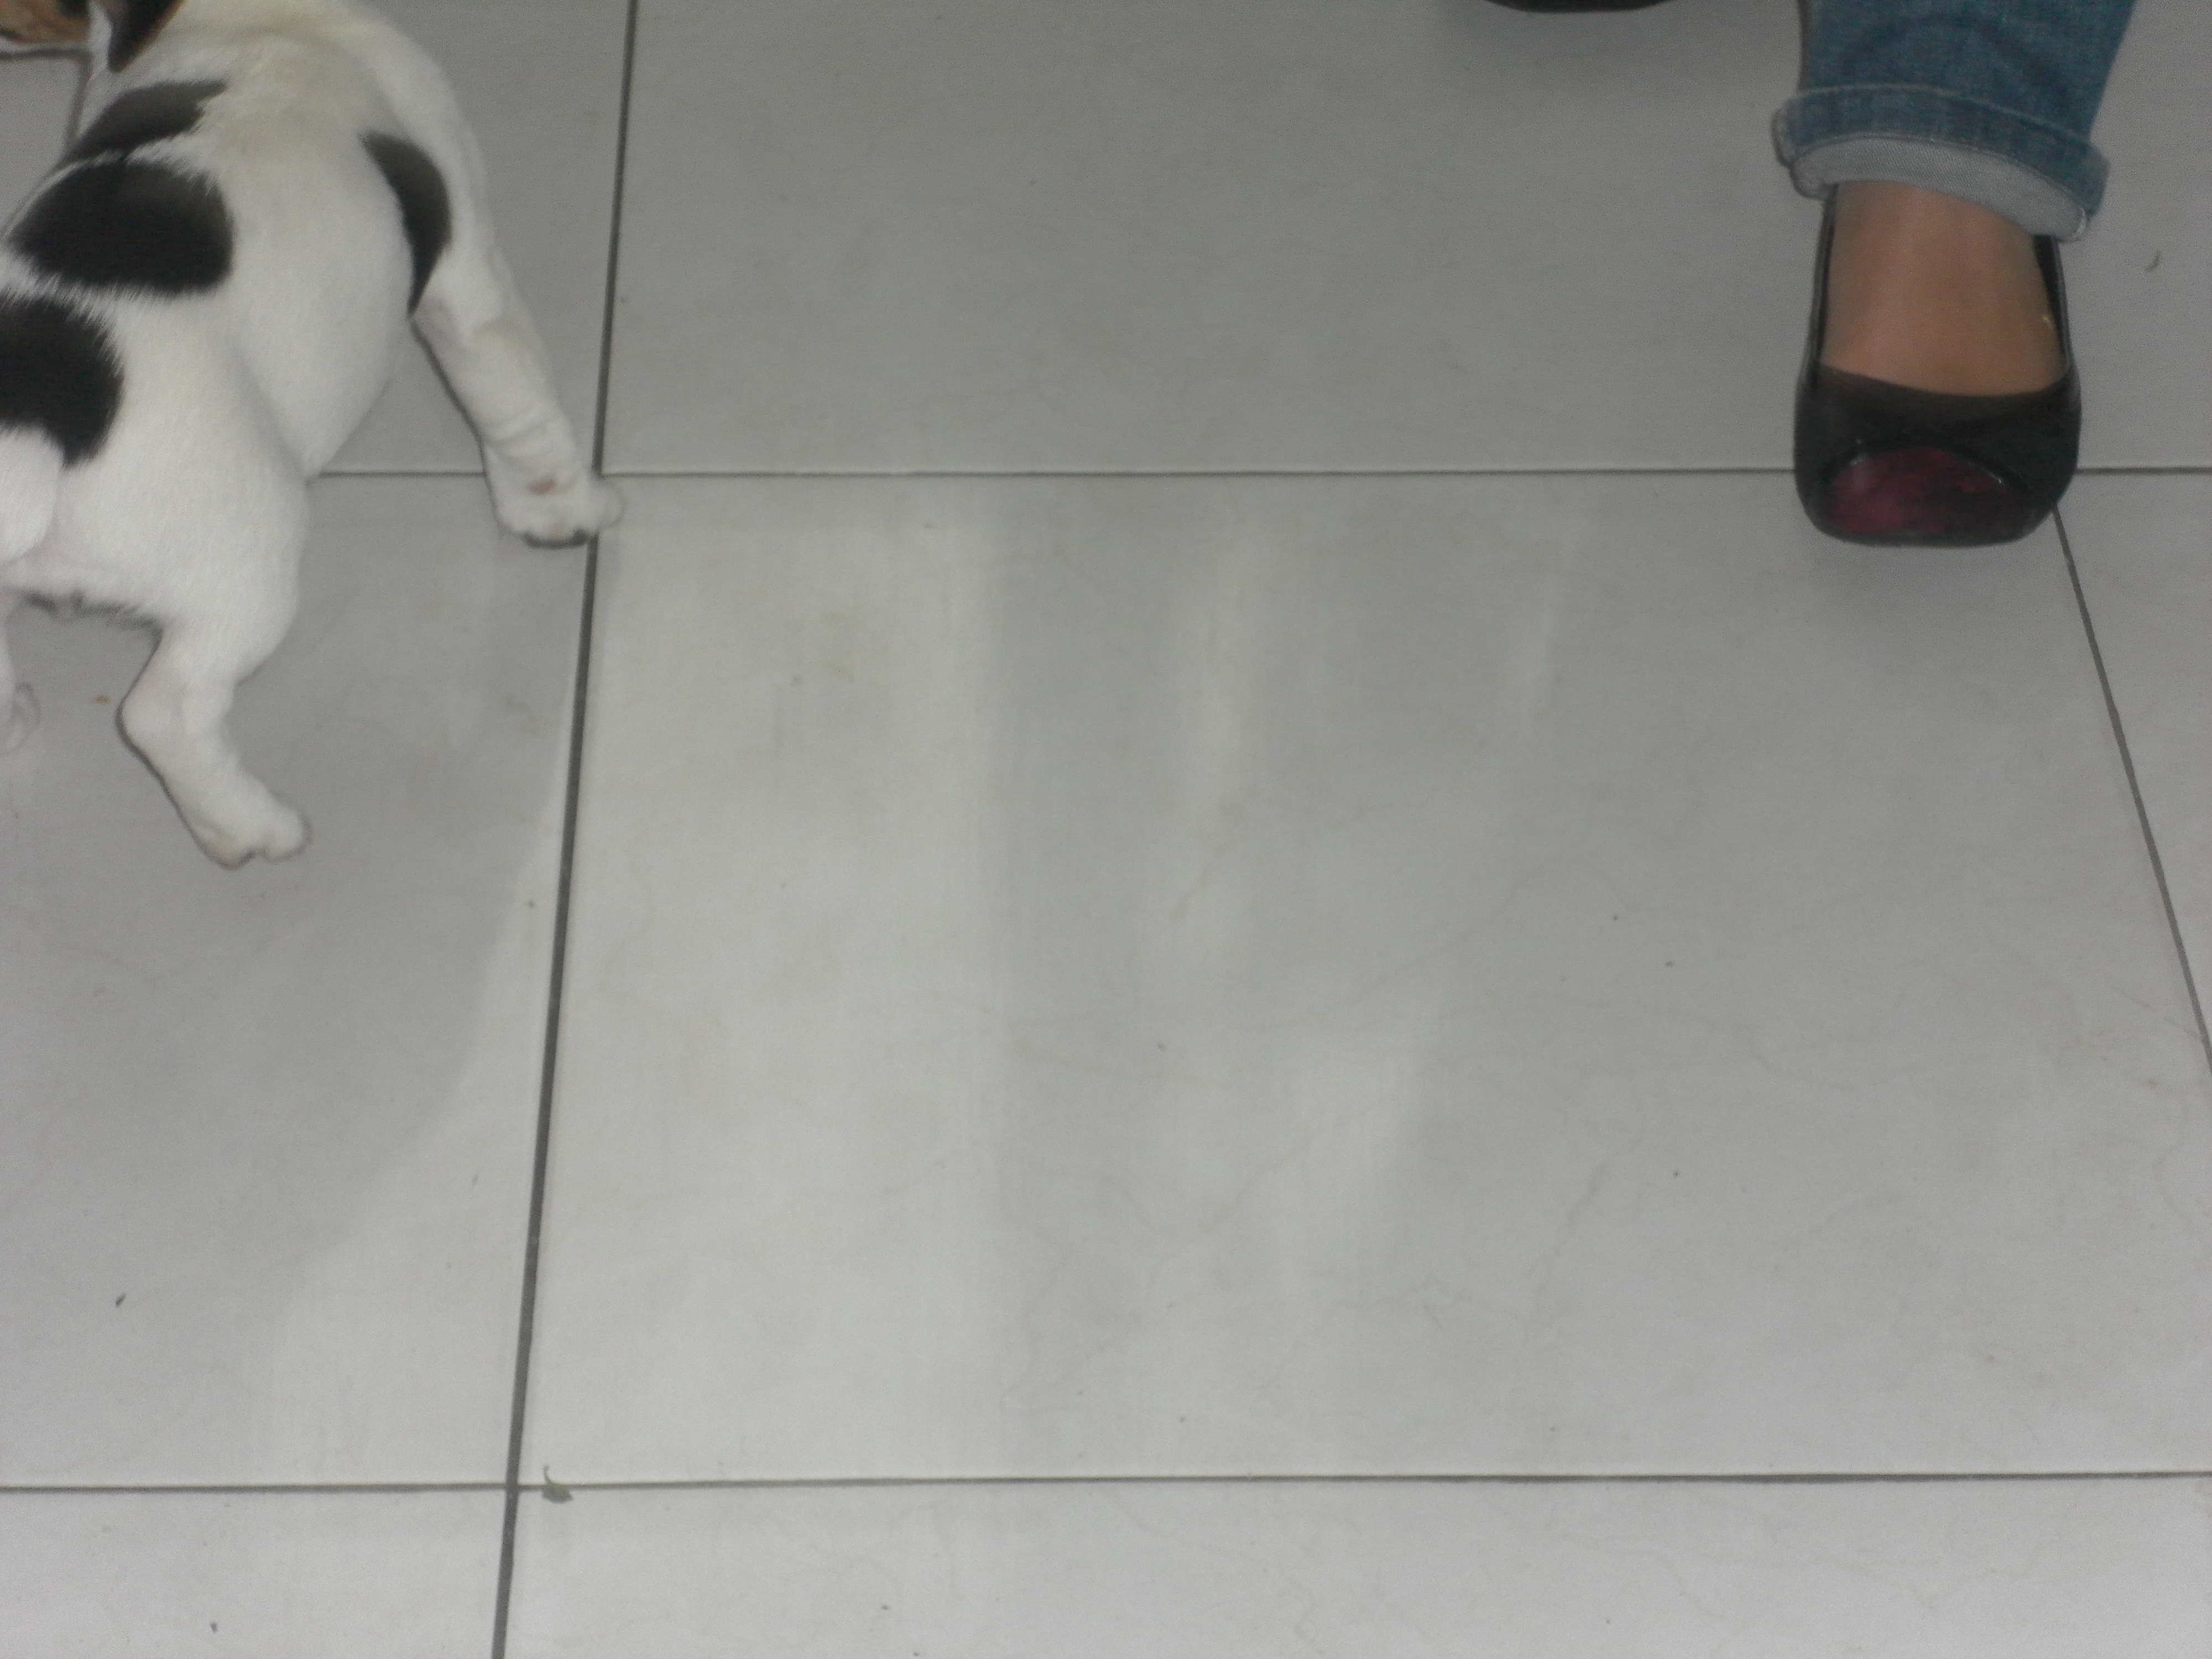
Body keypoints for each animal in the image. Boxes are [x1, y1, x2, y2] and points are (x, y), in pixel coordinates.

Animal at [0, 0, 621, 865]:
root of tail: (42, 429)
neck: (249, 22)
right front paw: (562, 510)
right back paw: (250, 828)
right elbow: (511, 387)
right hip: (244, 565)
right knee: (164, 713)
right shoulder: (466, 261)